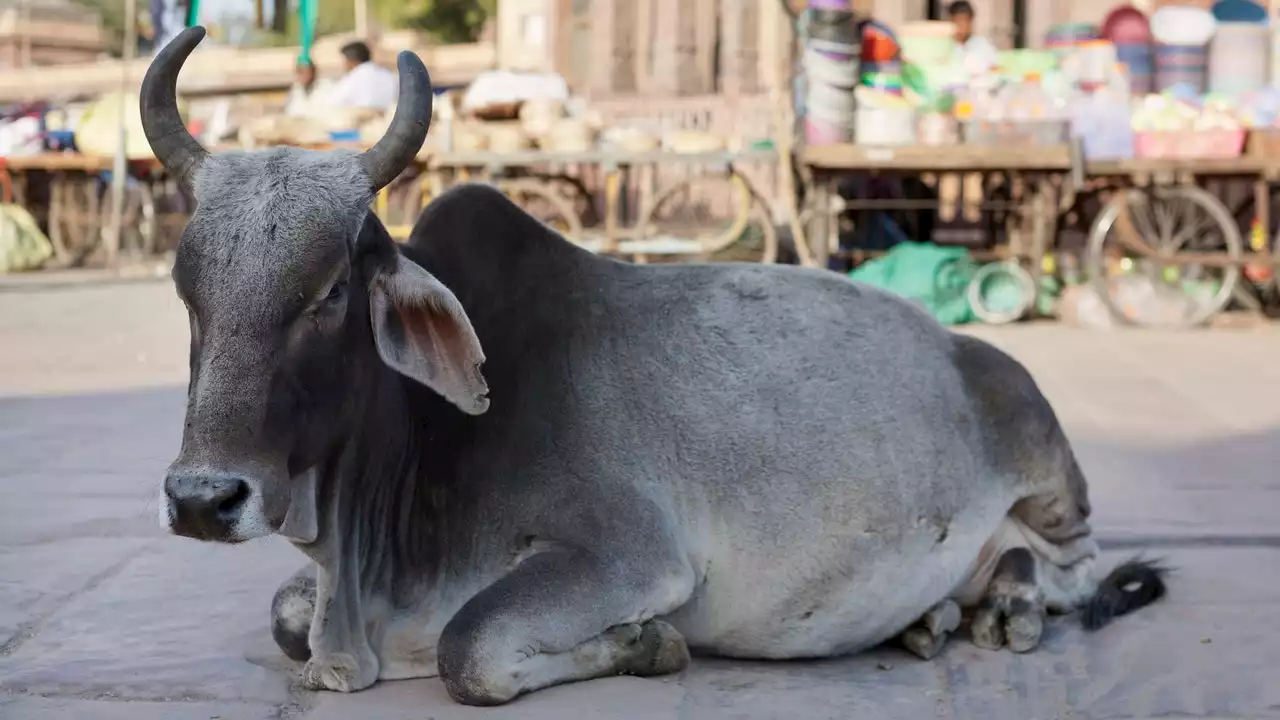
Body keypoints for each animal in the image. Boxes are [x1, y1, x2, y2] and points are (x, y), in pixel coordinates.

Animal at [147, 26, 1162, 702]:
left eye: (327, 293)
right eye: (186, 289)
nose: (202, 500)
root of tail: (970, 350)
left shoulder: (626, 553)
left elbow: (467, 652)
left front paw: (648, 645)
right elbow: (287, 620)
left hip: (1050, 470)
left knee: (1072, 569)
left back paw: (1008, 606)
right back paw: (940, 615)